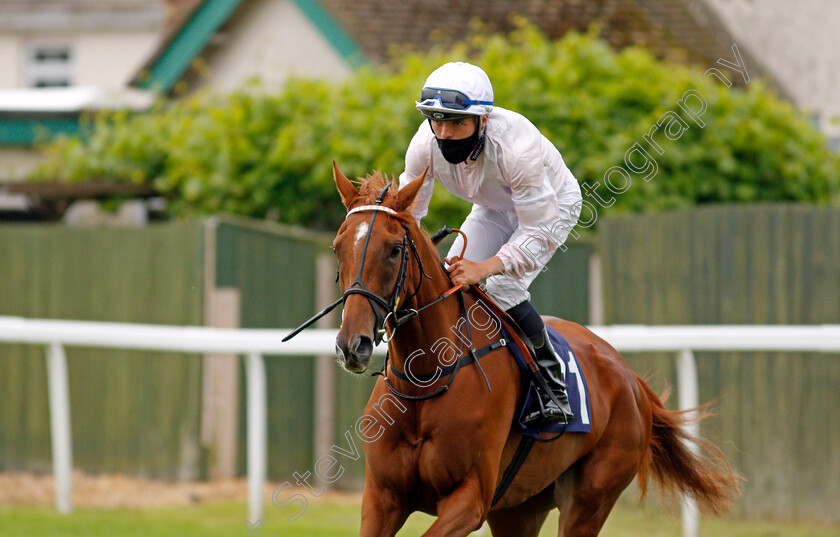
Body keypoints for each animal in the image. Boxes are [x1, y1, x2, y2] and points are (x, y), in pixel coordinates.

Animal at [330, 163, 740, 536]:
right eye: (338, 247)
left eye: (395, 249)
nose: (353, 344)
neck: (427, 379)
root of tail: (629, 377)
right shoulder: (382, 498)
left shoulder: (469, 498)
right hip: (518, 509)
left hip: (590, 499)